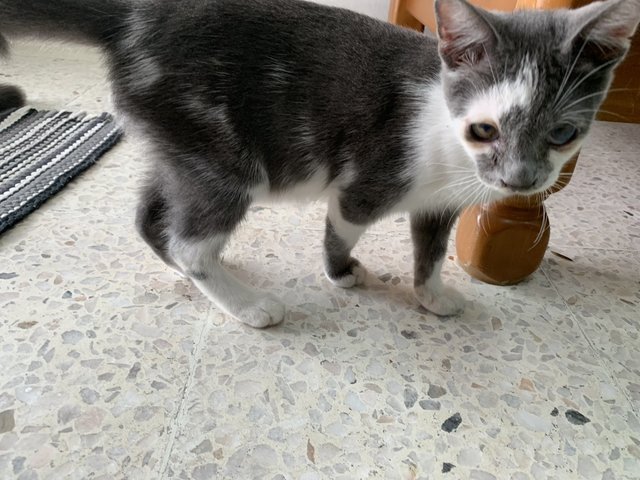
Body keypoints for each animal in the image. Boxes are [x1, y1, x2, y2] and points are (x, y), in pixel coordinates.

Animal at [1, 0, 640, 326]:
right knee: (190, 239)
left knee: (152, 216)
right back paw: (246, 305)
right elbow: (343, 225)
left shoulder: (439, 205)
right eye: (485, 130)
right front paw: (341, 273)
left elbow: (431, 252)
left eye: (563, 134)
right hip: (224, 159)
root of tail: (136, 17)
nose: (519, 180)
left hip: (181, 147)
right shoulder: (367, 179)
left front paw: (431, 295)